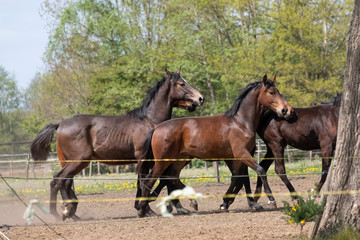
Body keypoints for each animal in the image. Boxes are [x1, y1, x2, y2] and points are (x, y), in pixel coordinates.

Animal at [29, 68, 204, 221]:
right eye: (181, 83)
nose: (200, 98)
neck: (148, 120)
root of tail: (60, 124)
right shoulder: (144, 159)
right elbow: (144, 181)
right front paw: (146, 209)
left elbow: (153, 180)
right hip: (79, 161)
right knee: (58, 180)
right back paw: (61, 212)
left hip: (70, 162)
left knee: (64, 182)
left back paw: (71, 213)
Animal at [138, 74, 292, 217]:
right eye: (271, 92)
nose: (285, 110)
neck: (240, 122)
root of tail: (156, 128)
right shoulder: (241, 154)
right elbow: (260, 171)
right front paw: (271, 200)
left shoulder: (238, 157)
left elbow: (240, 178)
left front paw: (246, 203)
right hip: (162, 161)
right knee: (150, 180)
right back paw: (143, 209)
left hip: (180, 159)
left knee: (171, 177)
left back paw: (190, 203)